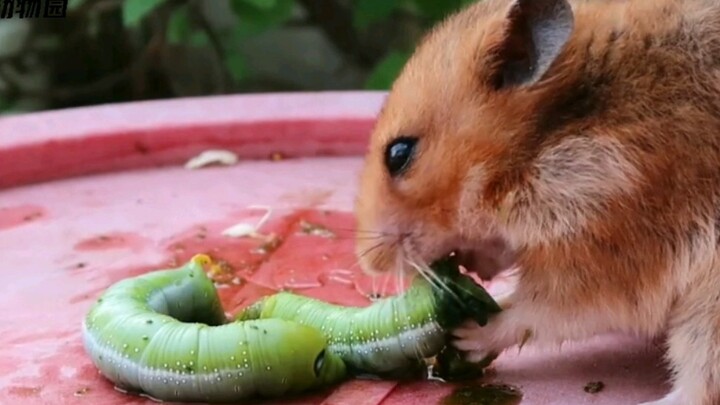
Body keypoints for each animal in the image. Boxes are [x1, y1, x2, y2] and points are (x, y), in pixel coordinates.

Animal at [356, 0, 720, 402]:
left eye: (399, 154)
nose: (367, 262)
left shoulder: (606, 258)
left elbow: (534, 312)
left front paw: (468, 335)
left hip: (709, 309)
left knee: (699, 386)